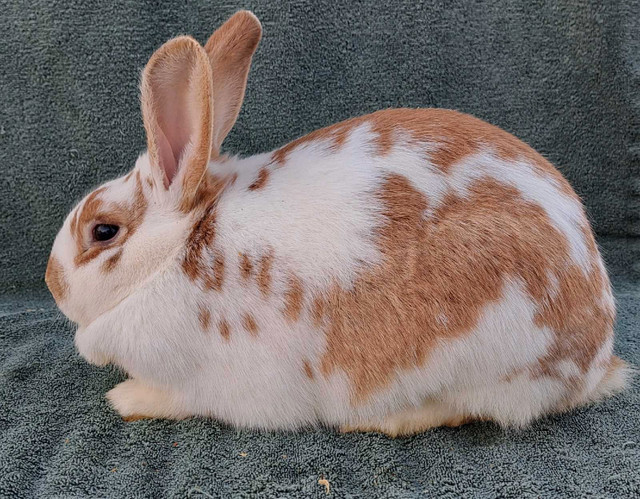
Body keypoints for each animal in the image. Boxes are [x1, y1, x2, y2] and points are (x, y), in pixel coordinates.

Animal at [46, 9, 632, 436]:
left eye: (103, 231)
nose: (50, 281)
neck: (176, 251)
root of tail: (598, 358)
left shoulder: (217, 384)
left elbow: (175, 398)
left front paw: (125, 398)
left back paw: (386, 420)